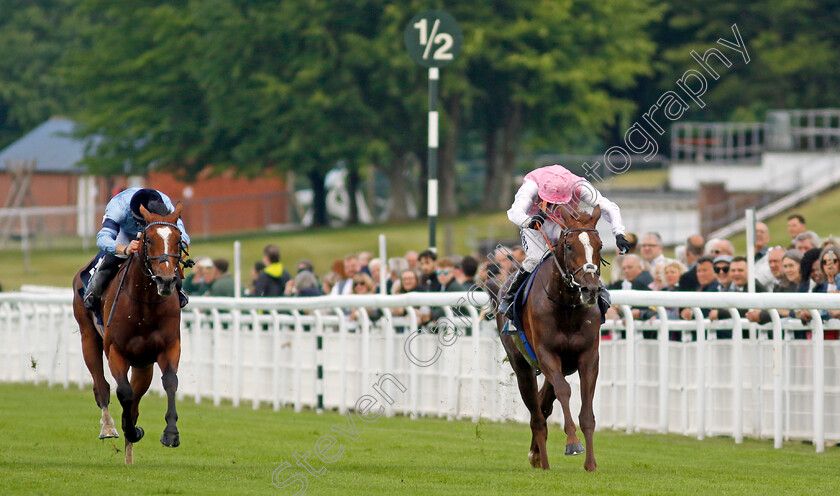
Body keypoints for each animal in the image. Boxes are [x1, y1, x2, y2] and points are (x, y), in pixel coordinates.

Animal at [72, 202, 187, 464]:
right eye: (148, 239)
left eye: (177, 240)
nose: (167, 280)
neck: (145, 305)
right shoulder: (116, 350)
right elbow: (124, 392)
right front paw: (129, 429)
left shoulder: (168, 347)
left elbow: (170, 382)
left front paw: (170, 434)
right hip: (88, 337)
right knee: (101, 385)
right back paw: (110, 427)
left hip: (143, 364)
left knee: (135, 398)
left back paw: (129, 446)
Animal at [492, 203, 604, 470]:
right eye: (569, 245)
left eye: (600, 245)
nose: (590, 289)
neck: (567, 306)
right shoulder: (546, 354)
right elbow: (564, 391)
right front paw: (572, 442)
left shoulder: (588, 356)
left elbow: (586, 412)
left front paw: (591, 464)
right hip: (521, 366)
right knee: (537, 415)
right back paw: (542, 461)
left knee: (543, 404)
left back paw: (536, 455)